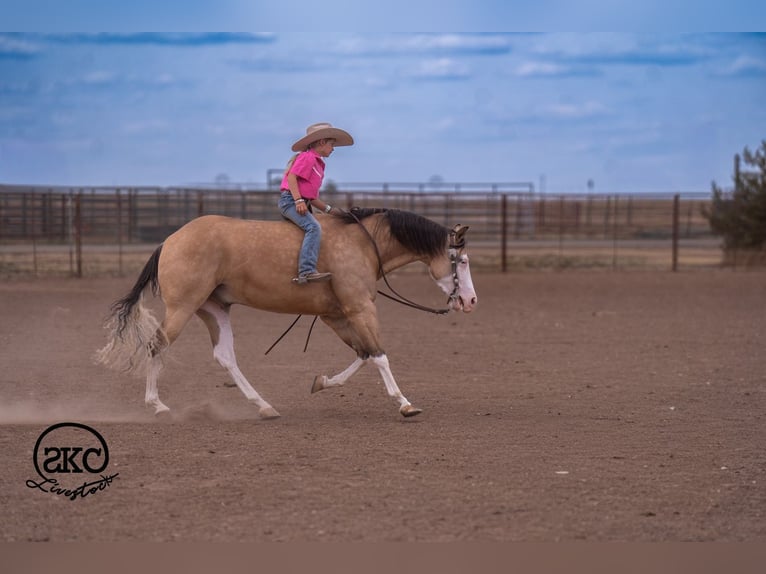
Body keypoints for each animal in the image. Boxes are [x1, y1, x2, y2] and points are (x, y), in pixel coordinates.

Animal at [95, 207, 477, 418]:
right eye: (461, 261)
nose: (471, 301)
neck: (363, 245)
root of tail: (171, 240)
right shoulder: (359, 307)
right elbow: (379, 354)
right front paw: (405, 403)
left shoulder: (337, 314)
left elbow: (364, 353)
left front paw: (322, 382)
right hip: (182, 308)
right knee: (156, 346)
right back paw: (158, 406)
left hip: (214, 309)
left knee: (225, 356)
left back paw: (263, 406)